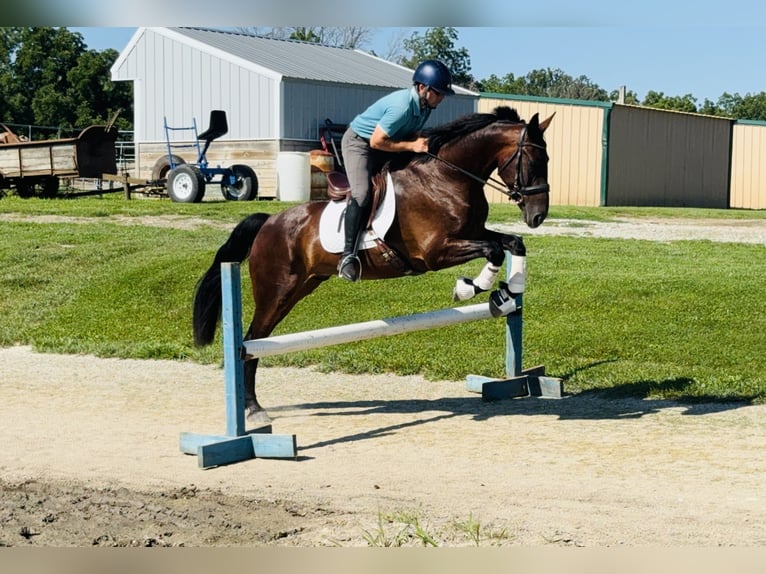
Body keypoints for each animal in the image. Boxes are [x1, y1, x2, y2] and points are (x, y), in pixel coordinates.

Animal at [190, 104, 552, 428]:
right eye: (535, 160)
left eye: (546, 160)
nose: (537, 216)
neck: (447, 177)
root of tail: (268, 222)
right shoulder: (435, 252)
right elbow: (493, 251)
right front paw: (469, 289)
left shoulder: (474, 232)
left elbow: (511, 244)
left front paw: (507, 293)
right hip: (275, 293)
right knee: (250, 344)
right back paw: (253, 410)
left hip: (301, 287)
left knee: (255, 343)